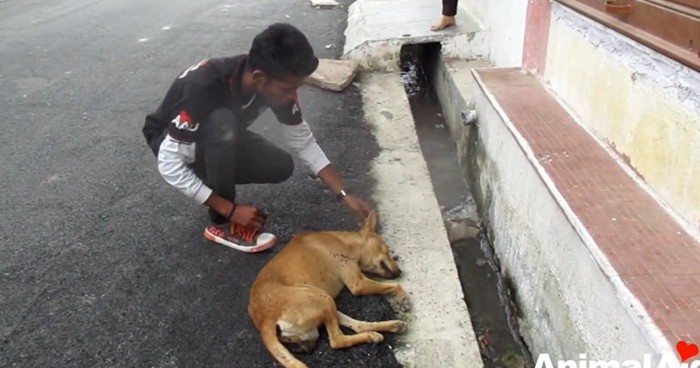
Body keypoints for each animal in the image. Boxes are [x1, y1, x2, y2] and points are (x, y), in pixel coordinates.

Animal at [249, 210, 410, 368]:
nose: (400, 272)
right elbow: (395, 285)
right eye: (387, 250)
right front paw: (403, 299)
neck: (346, 242)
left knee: (358, 326)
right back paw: (371, 335)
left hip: (326, 303)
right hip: (322, 298)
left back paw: (388, 328)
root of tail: (265, 320)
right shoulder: (358, 284)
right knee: (337, 340)